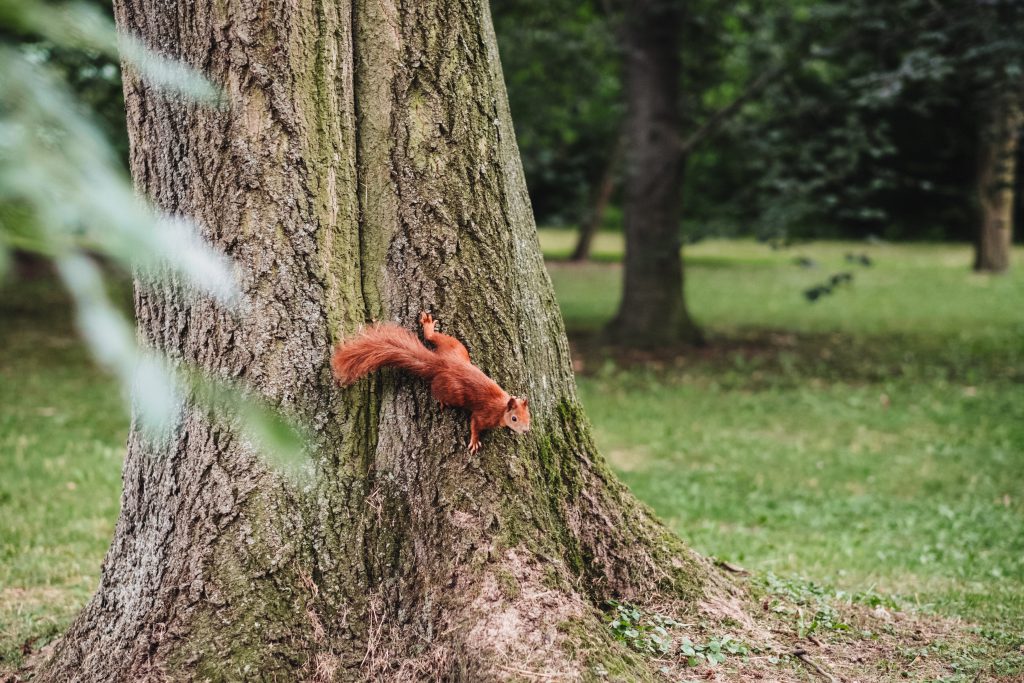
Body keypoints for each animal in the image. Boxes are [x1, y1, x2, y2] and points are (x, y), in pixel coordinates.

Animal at [331, 313, 532, 454]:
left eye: (528, 417)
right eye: (514, 418)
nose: (526, 431)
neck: (502, 407)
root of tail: (441, 363)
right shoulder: (483, 415)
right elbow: (475, 424)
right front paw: (475, 441)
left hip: (456, 348)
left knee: (433, 339)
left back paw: (428, 327)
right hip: (453, 389)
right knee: (437, 389)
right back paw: (442, 400)